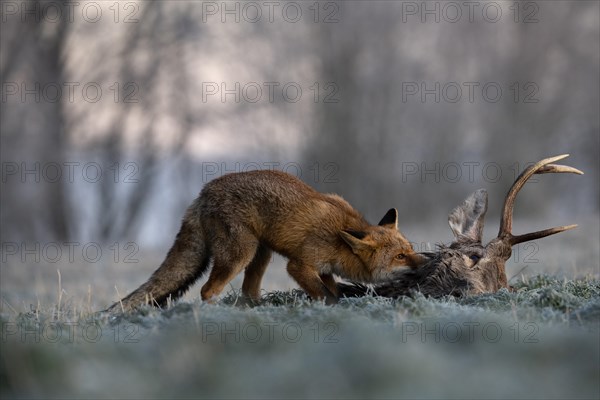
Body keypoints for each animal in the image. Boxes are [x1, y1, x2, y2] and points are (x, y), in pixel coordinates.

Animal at [109, 170, 426, 310]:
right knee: (208, 291)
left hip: (261, 254)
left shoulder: (323, 269)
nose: (426, 262)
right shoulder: (299, 265)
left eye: (410, 249)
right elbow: (326, 295)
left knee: (248, 291)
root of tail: (203, 192)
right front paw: (331, 308)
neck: (339, 238)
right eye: (399, 256)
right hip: (241, 254)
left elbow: (331, 287)